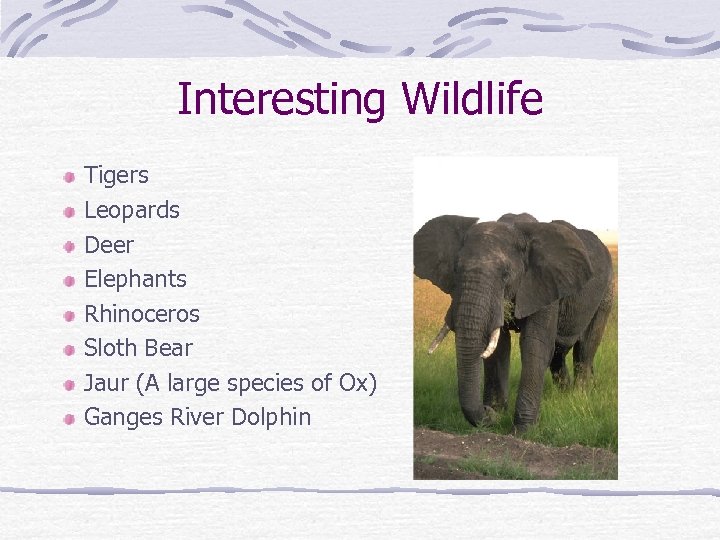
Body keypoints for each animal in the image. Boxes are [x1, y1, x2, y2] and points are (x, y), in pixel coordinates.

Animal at [414, 213, 613, 431]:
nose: (487, 411)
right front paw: (497, 413)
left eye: (506, 274)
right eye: (456, 270)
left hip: (606, 291)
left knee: (585, 347)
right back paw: (564, 394)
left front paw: (523, 430)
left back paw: (579, 396)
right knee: (559, 352)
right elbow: (499, 347)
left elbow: (534, 344)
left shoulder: (544, 284)